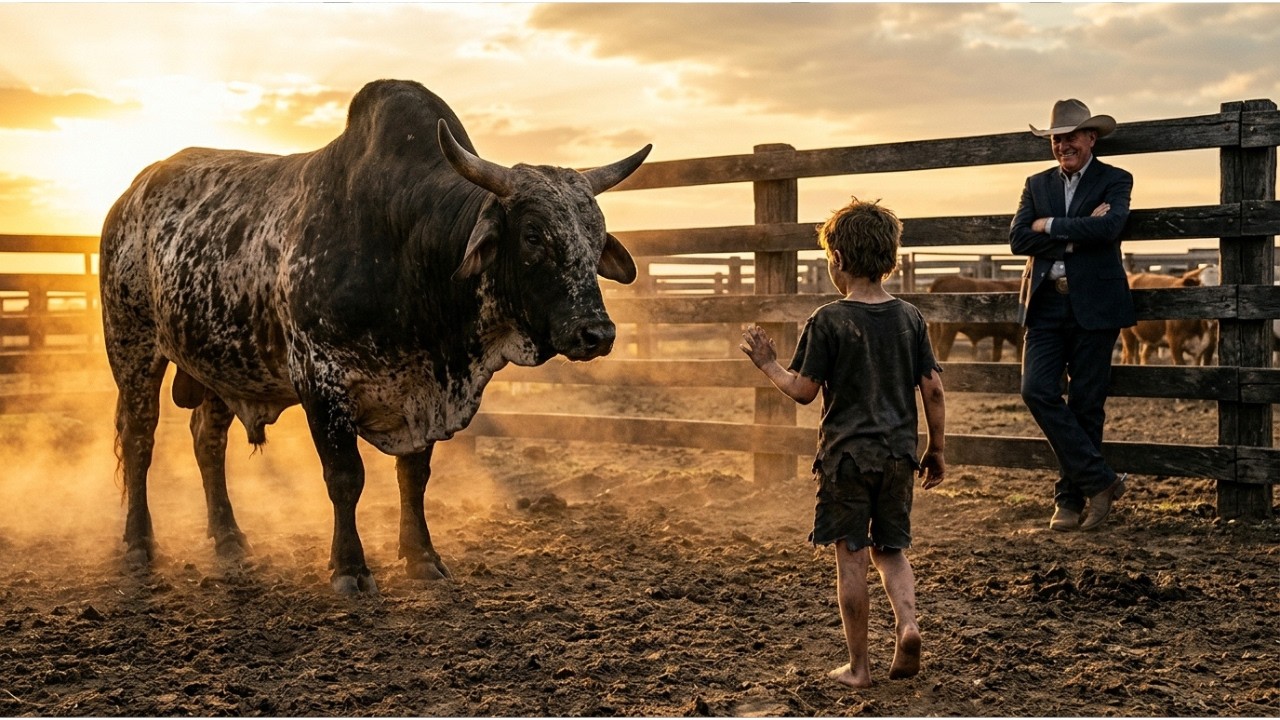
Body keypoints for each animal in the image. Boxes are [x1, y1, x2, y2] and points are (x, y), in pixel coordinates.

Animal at [99, 79, 651, 594]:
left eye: (596, 236)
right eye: (534, 234)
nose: (596, 332)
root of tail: (130, 195)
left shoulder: (422, 393)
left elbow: (414, 478)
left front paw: (422, 557)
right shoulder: (320, 380)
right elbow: (346, 478)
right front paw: (350, 567)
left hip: (222, 364)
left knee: (207, 440)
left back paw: (229, 537)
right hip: (133, 346)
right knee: (140, 437)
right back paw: (139, 543)